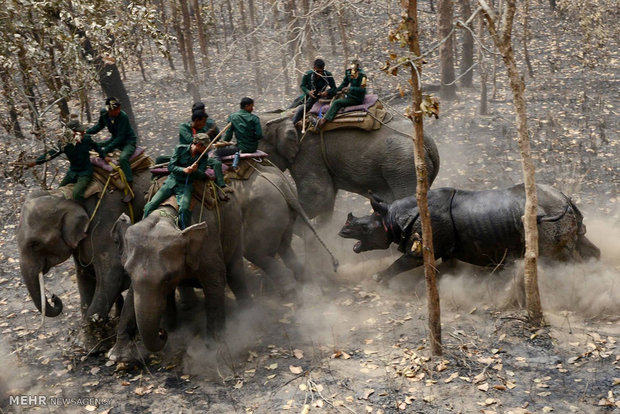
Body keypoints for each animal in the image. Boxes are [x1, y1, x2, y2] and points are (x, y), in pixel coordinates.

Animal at [16, 169, 152, 336]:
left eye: (35, 244)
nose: (54, 297)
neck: (66, 196)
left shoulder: (106, 224)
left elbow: (113, 275)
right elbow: (84, 276)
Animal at [110, 196, 251, 358]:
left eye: (167, 278)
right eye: (127, 273)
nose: (162, 333)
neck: (167, 215)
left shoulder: (208, 244)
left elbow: (215, 283)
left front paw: (213, 347)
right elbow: (132, 294)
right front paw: (116, 355)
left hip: (235, 229)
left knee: (235, 274)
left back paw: (249, 312)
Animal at [340, 184, 600, 284]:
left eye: (364, 228)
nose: (342, 231)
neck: (392, 218)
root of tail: (566, 199)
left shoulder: (423, 245)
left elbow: (404, 262)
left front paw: (378, 279)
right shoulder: (447, 246)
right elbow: (449, 266)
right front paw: (449, 282)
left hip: (548, 219)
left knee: (557, 260)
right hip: (563, 214)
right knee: (583, 245)